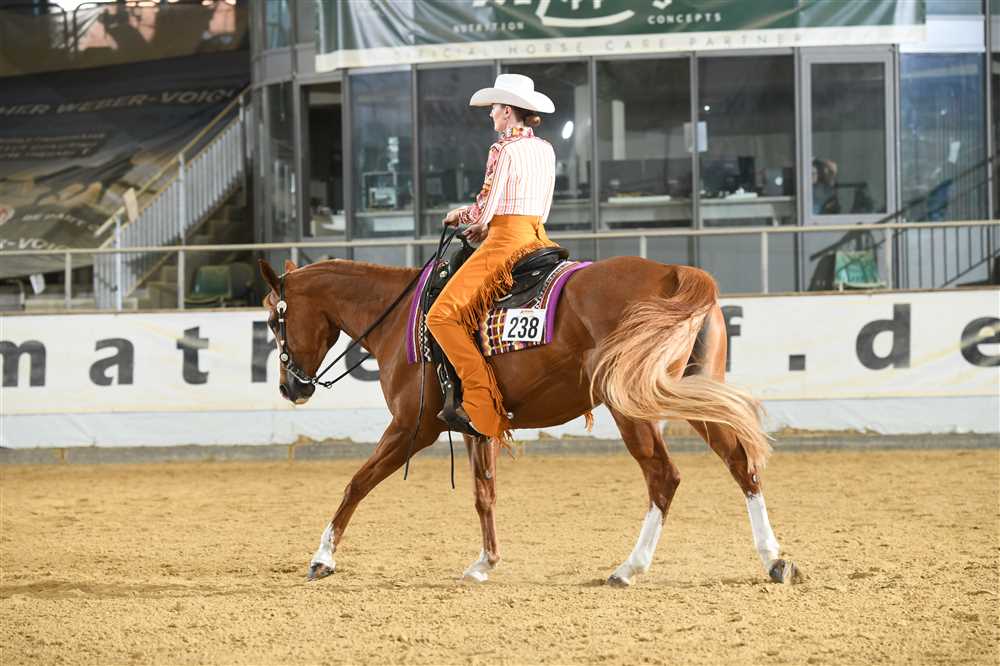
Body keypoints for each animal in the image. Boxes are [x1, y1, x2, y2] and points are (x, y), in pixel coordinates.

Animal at [258, 255, 802, 586]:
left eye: (273, 320)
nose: (290, 388)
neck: (399, 317)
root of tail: (672, 272)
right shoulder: (477, 425)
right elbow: (484, 494)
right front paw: (485, 562)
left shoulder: (412, 428)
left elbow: (357, 482)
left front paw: (322, 558)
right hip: (691, 389)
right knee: (741, 462)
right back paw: (775, 560)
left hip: (632, 405)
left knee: (663, 477)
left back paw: (628, 568)